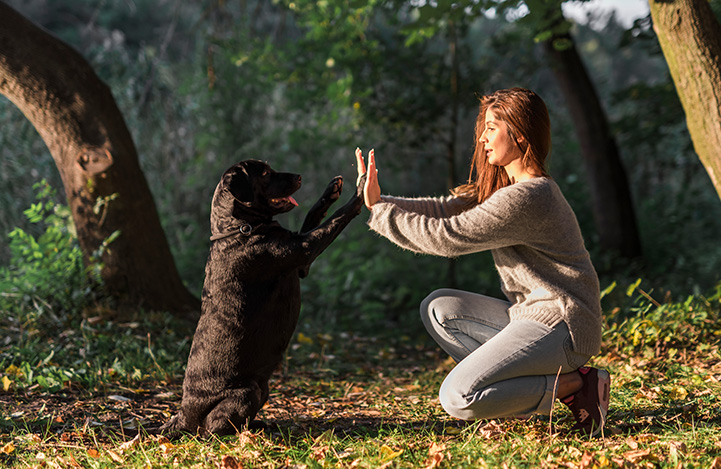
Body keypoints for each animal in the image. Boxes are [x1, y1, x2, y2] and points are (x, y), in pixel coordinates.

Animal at [160, 158, 362, 436]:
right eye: (265, 173)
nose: (299, 176)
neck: (240, 229)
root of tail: (182, 416)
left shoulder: (302, 265)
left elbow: (312, 216)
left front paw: (331, 190)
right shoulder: (304, 249)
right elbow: (334, 220)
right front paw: (360, 194)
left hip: (262, 388)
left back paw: (259, 425)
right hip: (247, 392)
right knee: (212, 429)